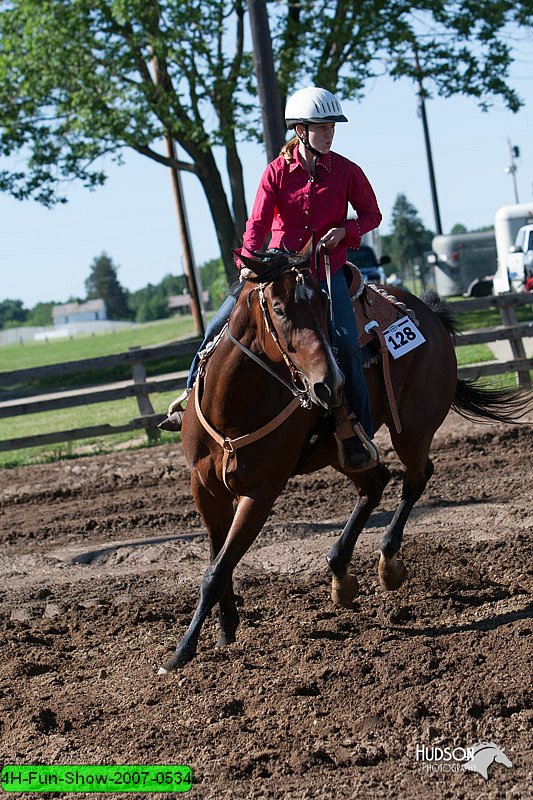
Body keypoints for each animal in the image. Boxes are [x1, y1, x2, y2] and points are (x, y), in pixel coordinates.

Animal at [158, 250, 528, 676]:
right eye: (279, 309)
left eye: (324, 305)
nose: (329, 385)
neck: (233, 407)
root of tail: (429, 314)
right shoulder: (204, 488)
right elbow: (220, 561)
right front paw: (224, 630)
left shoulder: (260, 494)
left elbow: (216, 570)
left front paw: (181, 652)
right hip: (343, 453)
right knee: (376, 482)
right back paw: (340, 573)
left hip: (412, 430)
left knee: (416, 477)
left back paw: (387, 563)